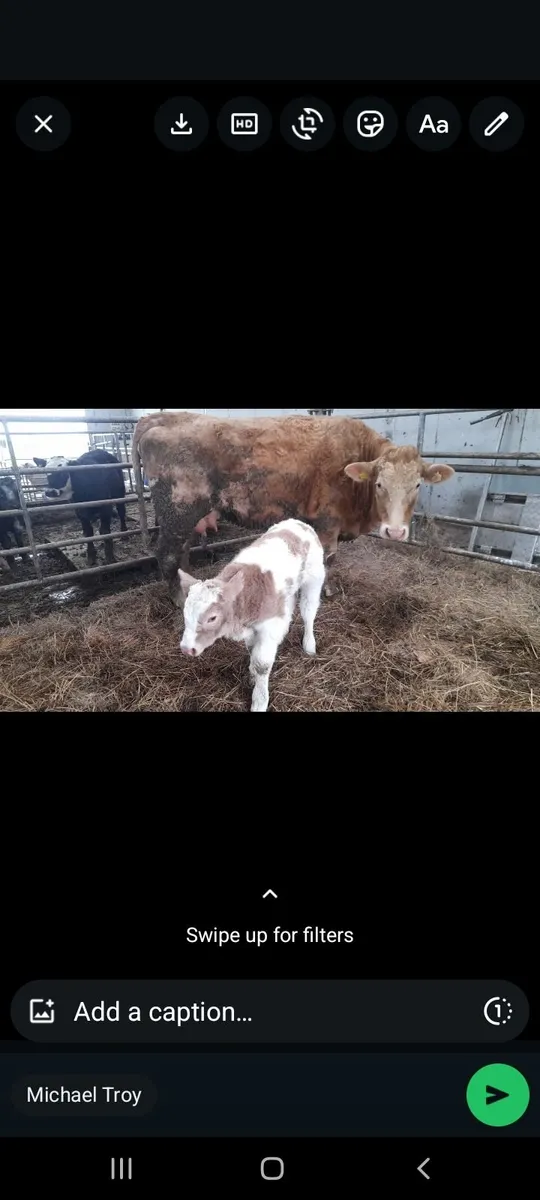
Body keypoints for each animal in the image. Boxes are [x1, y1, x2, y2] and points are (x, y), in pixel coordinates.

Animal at [134, 411, 455, 604]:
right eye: (379, 484)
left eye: (417, 485)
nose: (396, 531)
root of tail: (161, 417)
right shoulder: (327, 522)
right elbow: (328, 559)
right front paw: (322, 593)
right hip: (178, 509)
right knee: (168, 554)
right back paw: (179, 599)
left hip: (183, 516)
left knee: (182, 551)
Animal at [179, 518, 326, 713]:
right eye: (185, 613)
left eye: (212, 618)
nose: (186, 648)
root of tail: (297, 522)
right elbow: (251, 651)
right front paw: (252, 676)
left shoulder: (269, 627)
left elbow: (262, 664)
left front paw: (259, 701)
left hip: (314, 578)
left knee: (308, 612)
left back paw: (309, 645)